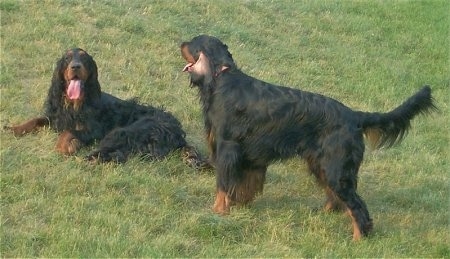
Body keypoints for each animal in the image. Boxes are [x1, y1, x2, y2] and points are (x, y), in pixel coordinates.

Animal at [6, 47, 207, 168]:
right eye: (67, 58)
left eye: (84, 59)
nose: (75, 66)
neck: (74, 104)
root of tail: (177, 131)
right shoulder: (56, 117)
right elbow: (36, 120)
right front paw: (13, 129)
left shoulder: (93, 130)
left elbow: (69, 132)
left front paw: (65, 147)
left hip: (124, 131)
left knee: (112, 154)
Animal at [180, 35, 436, 242]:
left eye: (192, 43)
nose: (181, 43)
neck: (221, 79)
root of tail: (354, 115)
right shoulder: (248, 157)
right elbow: (242, 186)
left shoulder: (227, 148)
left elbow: (223, 185)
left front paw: (218, 212)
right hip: (321, 164)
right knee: (337, 198)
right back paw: (322, 214)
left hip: (335, 168)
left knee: (357, 206)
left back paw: (358, 239)